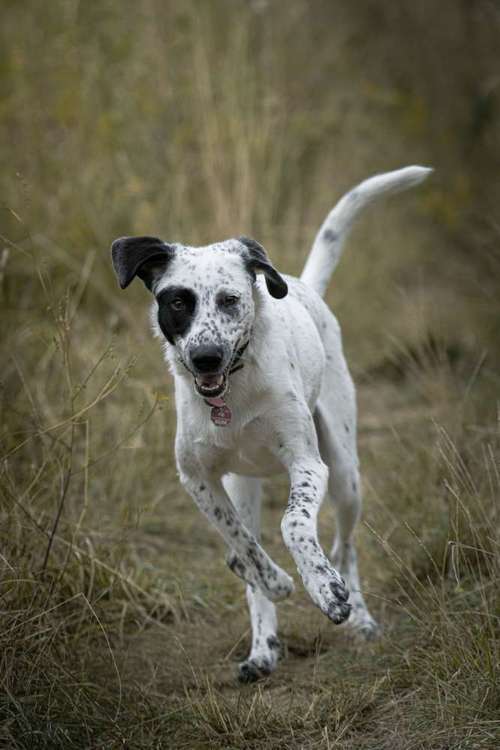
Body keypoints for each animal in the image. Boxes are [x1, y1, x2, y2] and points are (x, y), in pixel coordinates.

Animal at [111, 167, 432, 684]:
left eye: (230, 300)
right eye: (178, 302)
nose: (206, 357)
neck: (232, 396)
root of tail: (304, 285)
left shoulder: (307, 464)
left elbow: (294, 524)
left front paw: (324, 589)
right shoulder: (197, 478)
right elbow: (242, 542)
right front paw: (276, 581)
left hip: (346, 474)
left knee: (345, 546)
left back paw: (358, 614)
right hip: (244, 484)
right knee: (247, 549)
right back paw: (263, 648)